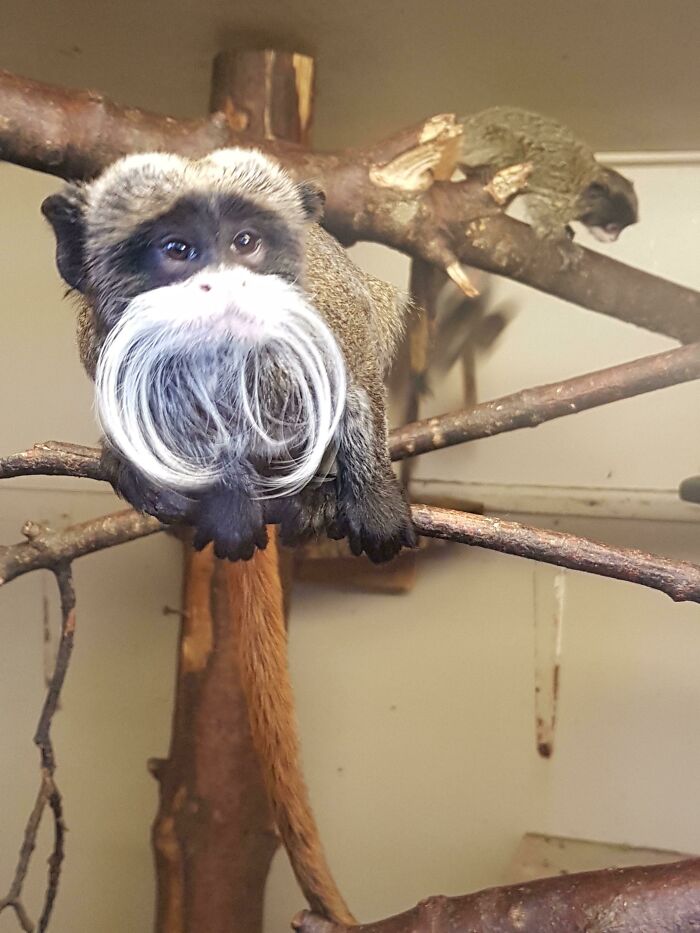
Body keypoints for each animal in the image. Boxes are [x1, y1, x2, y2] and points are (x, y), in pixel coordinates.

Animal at [42, 148, 418, 923]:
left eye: (246, 242)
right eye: (176, 251)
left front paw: (368, 491)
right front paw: (200, 486)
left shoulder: (327, 302)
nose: (222, 282)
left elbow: (357, 350)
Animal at [457, 106, 639, 242]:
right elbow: (538, 203)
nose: (614, 238)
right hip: (475, 142)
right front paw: (563, 245)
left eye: (620, 229)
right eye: (613, 228)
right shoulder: (563, 190)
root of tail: (465, 123)